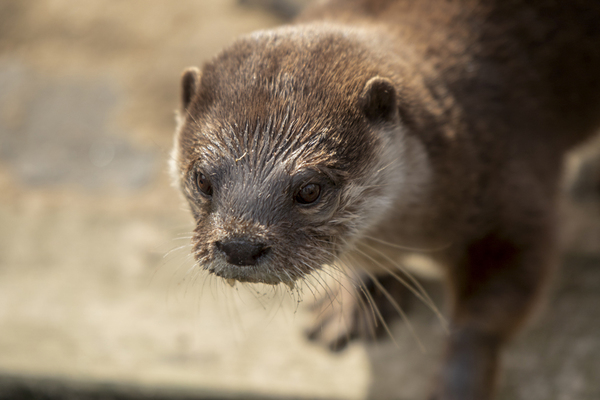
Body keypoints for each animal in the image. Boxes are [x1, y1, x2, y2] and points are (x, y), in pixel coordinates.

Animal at [169, 1, 600, 398]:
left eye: (309, 190)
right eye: (202, 180)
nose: (240, 245)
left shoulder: (511, 190)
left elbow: (487, 316)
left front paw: (458, 385)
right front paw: (359, 304)